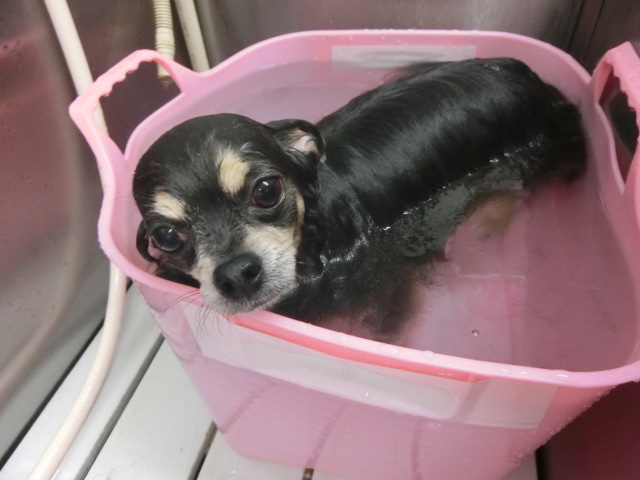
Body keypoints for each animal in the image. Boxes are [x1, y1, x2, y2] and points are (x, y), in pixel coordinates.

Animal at [133, 57, 586, 341]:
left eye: (266, 190)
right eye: (166, 237)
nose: (237, 274)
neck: (313, 241)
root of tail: (529, 76)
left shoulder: (392, 285)